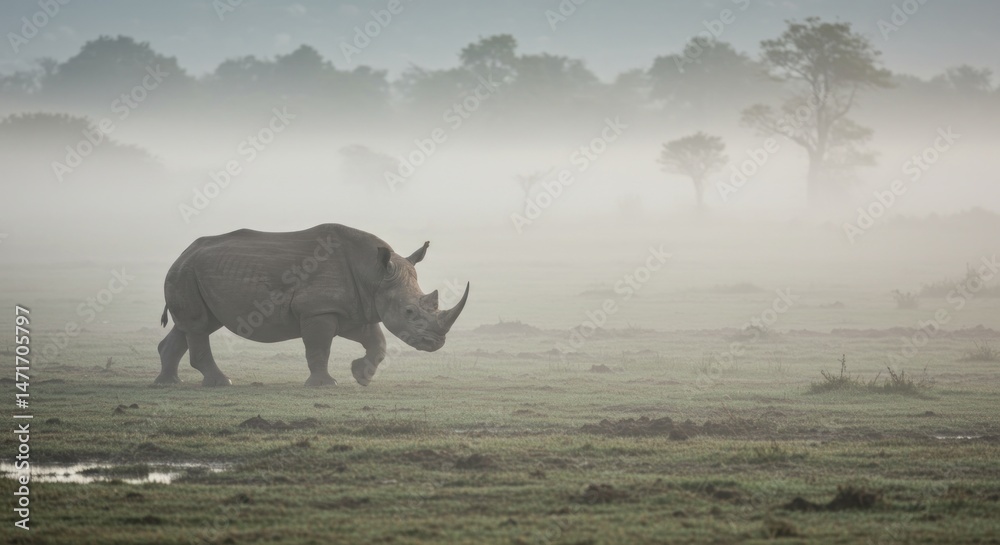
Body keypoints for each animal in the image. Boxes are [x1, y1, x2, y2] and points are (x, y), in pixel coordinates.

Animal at [155, 224, 469, 387]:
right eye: (409, 312)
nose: (436, 343)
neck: (374, 273)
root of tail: (182, 253)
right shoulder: (318, 309)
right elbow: (319, 348)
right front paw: (325, 384)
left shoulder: (355, 308)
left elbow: (376, 342)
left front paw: (361, 376)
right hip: (185, 272)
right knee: (198, 326)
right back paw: (221, 383)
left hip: (192, 272)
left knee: (195, 325)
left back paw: (168, 384)